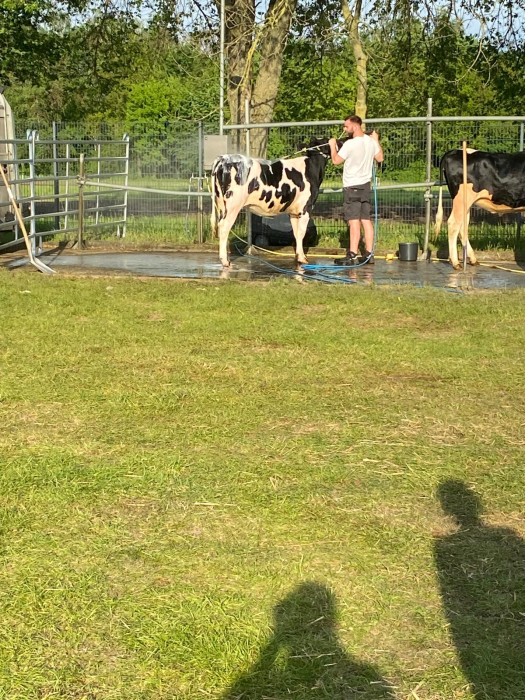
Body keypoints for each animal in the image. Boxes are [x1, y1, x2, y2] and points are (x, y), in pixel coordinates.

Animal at [210, 137, 341, 267]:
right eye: (327, 141)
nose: (340, 142)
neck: (311, 168)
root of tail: (223, 159)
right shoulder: (306, 208)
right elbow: (301, 233)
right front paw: (303, 259)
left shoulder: (294, 212)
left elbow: (296, 234)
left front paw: (298, 257)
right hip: (233, 205)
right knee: (224, 227)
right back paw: (225, 261)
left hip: (221, 204)